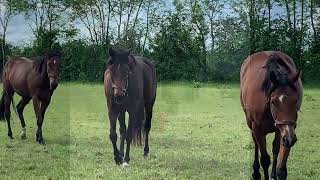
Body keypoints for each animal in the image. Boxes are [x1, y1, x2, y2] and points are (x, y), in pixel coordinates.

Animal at [240, 51, 302, 180]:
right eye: (273, 101)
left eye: (296, 100)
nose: (290, 139)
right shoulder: (257, 128)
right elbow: (264, 159)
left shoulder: (286, 130)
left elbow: (281, 167)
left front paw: (276, 174)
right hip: (252, 124)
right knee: (256, 143)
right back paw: (256, 172)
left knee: (274, 149)